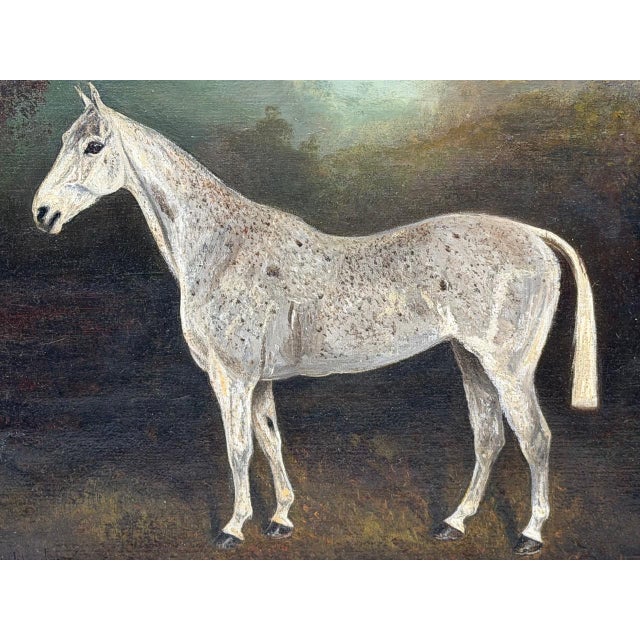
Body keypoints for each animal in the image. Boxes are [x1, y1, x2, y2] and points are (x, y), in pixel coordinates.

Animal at [32, 84, 598, 555]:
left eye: (94, 146)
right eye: (64, 139)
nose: (42, 213)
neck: (223, 246)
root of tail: (534, 236)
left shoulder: (232, 377)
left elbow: (238, 449)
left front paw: (233, 527)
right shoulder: (258, 380)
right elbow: (270, 439)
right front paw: (280, 518)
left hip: (508, 367)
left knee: (535, 438)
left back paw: (530, 534)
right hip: (471, 360)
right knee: (489, 439)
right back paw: (454, 522)